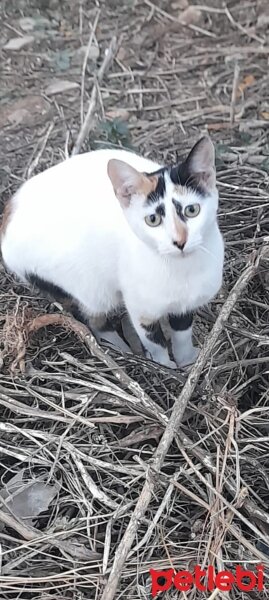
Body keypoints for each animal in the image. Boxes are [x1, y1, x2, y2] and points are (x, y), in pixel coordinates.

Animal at [1, 138, 224, 368]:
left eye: (192, 210)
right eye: (152, 219)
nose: (179, 241)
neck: (183, 270)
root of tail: (8, 213)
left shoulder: (186, 305)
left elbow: (182, 332)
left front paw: (187, 361)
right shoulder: (141, 310)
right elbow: (154, 341)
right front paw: (164, 366)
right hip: (86, 288)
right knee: (95, 321)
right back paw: (120, 350)